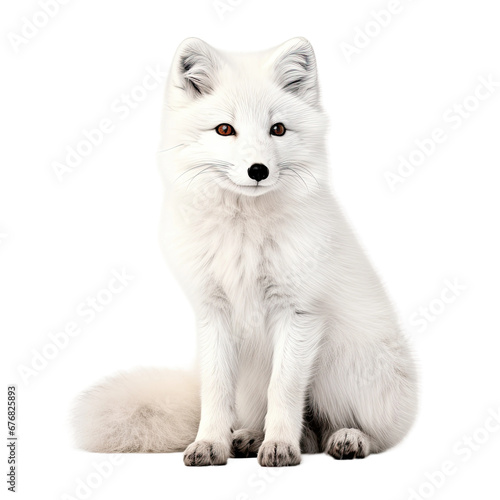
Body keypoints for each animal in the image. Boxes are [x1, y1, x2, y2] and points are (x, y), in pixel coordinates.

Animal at [73, 37, 418, 466]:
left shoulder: (299, 313)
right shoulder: (212, 313)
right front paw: (209, 443)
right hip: (254, 379)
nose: (258, 170)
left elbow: (283, 391)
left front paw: (280, 446)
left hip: (345, 370)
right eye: (225, 129)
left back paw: (347, 438)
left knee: (368, 433)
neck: (243, 233)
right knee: (302, 431)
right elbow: (215, 391)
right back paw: (251, 437)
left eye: (278, 129)